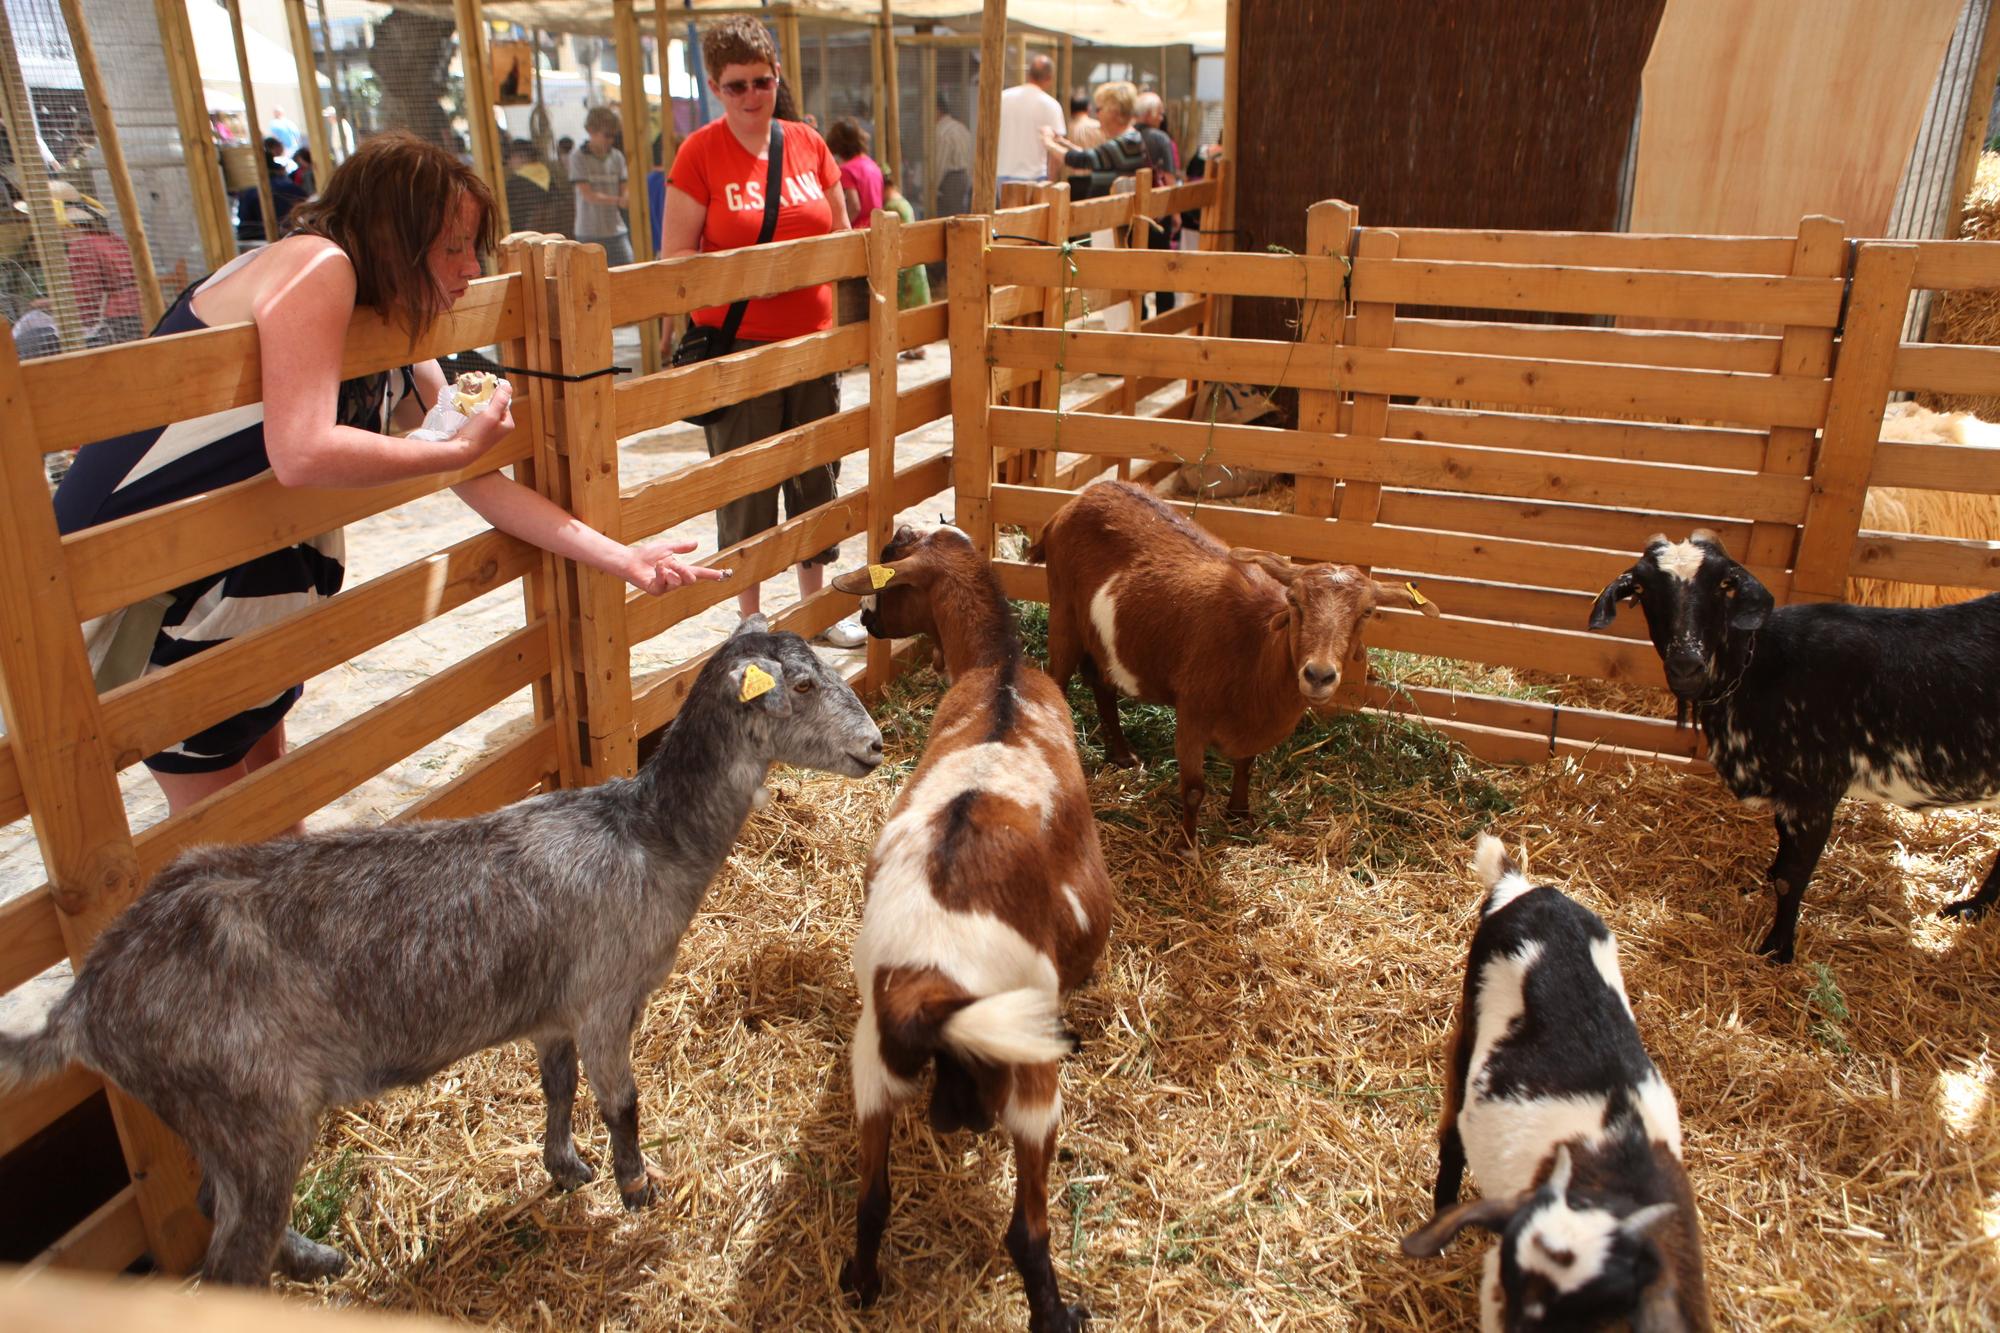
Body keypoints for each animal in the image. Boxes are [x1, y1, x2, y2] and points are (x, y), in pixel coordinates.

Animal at [0, 616, 884, 1280]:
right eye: (803, 685)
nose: (875, 746)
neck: (646, 836)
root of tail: (83, 1003)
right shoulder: (604, 997)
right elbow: (621, 1103)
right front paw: (637, 1186)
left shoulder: (556, 1009)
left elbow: (556, 1086)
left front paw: (566, 1168)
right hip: (250, 1107)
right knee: (229, 1255)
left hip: (215, 1118)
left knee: (214, 1205)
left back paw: (318, 1257)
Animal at [824, 524, 1112, 1320]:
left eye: (891, 573)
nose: (866, 621)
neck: (999, 672)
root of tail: (930, 983)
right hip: (1031, 1082)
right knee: (1027, 1232)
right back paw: (1063, 1313)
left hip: (873, 1065)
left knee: (872, 1200)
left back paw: (861, 1286)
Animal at [1032, 480, 1440, 840]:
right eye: (1294, 600)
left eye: (1367, 612)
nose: (1319, 674)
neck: (1254, 652)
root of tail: (1081, 497)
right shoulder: (1191, 715)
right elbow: (1193, 789)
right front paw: (1187, 848)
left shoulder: (1251, 725)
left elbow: (1246, 766)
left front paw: (1240, 815)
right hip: (1063, 613)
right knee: (1057, 681)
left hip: (1102, 637)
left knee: (1102, 683)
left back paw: (1122, 755)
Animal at [1592, 528, 2000, 956]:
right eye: (1642, 588)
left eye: (1724, 585)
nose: (1686, 666)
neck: (1759, 668)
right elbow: (1782, 851)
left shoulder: (1815, 792)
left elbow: (1794, 876)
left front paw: (1777, 947)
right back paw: (1972, 908)